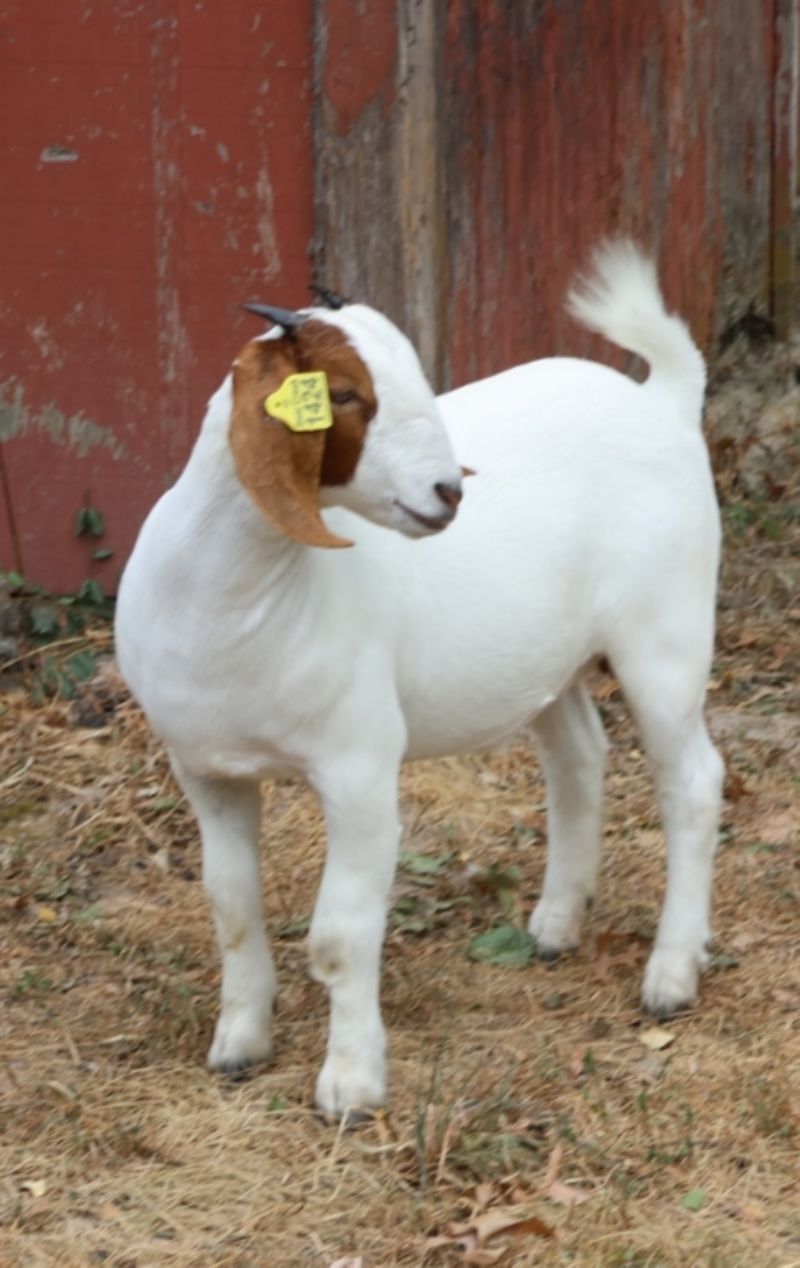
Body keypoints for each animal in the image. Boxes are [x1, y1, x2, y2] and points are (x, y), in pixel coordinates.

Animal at [115, 242, 723, 1119]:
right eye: (342, 394)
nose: (449, 491)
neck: (242, 600)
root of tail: (662, 400)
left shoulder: (359, 765)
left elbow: (340, 934)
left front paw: (351, 1084)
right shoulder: (205, 770)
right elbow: (229, 906)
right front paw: (239, 1044)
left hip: (666, 633)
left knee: (693, 783)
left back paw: (672, 973)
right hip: (546, 657)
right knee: (579, 756)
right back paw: (556, 923)